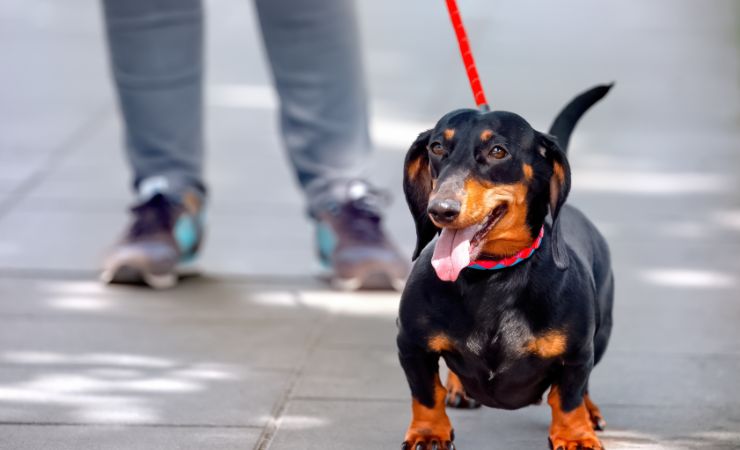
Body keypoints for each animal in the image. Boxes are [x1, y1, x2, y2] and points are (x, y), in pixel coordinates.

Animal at [398, 85, 612, 450]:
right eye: (437, 147)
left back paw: (591, 412)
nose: (440, 209)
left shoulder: (578, 354)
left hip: (603, 333)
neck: (493, 276)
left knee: (584, 388)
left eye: (498, 151)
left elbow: (568, 398)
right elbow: (425, 393)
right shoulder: (410, 345)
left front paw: (576, 436)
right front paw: (429, 433)